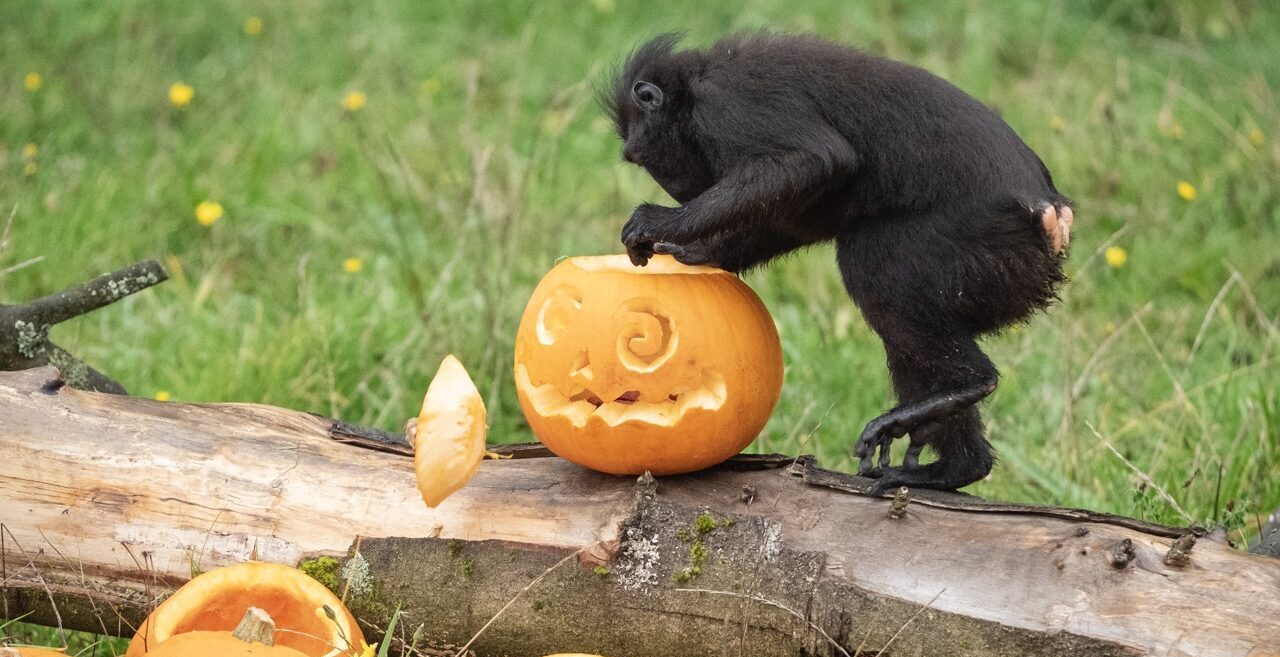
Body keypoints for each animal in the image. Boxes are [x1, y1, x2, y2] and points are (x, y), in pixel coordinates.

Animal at [602, 33, 1073, 494]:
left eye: (642, 158)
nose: (677, 191)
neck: (694, 84)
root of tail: (1049, 213)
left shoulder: (727, 103)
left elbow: (813, 161)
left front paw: (661, 222)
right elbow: (797, 214)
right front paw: (693, 252)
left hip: (979, 245)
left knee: (870, 259)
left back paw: (967, 384)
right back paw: (957, 467)